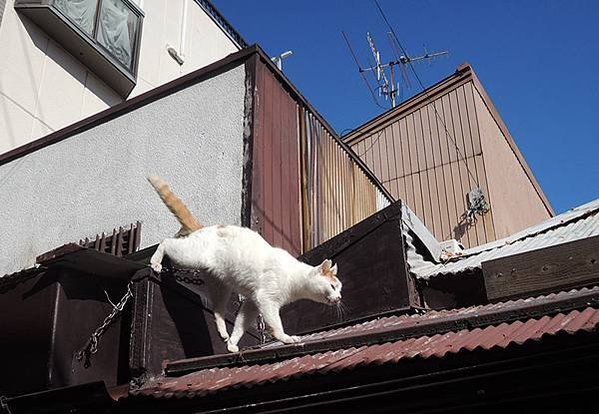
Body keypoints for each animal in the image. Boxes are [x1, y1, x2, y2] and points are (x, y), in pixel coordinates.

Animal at [148, 176, 342, 354]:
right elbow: (276, 325)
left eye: (340, 290)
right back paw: (156, 262)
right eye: (332, 286)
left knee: (217, 310)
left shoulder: (252, 303)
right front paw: (286, 338)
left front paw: (232, 344)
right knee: (166, 242)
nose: (339, 298)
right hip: (191, 256)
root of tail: (205, 227)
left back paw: (223, 333)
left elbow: (240, 325)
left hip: (220, 286)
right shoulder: (266, 300)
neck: (296, 278)